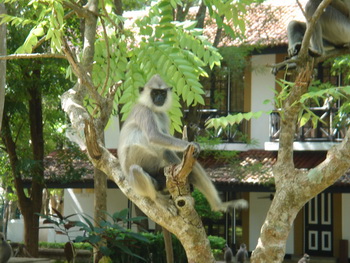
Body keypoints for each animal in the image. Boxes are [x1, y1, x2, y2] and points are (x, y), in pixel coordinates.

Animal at [119, 74, 247, 212]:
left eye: (162, 93)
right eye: (154, 93)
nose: (159, 98)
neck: (154, 110)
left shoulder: (163, 116)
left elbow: (165, 149)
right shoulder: (143, 110)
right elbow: (154, 136)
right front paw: (190, 144)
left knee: (192, 167)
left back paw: (218, 206)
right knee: (135, 170)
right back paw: (158, 200)